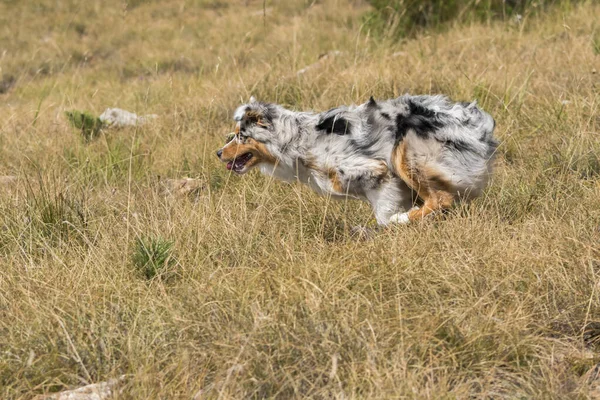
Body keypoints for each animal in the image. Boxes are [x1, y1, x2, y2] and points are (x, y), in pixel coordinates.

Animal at [216, 94, 496, 225]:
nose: (218, 153)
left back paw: (404, 219)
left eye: (241, 136)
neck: (296, 139)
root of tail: (472, 120)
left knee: (440, 199)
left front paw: (391, 223)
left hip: (405, 155)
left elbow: (382, 211)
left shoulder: (374, 170)